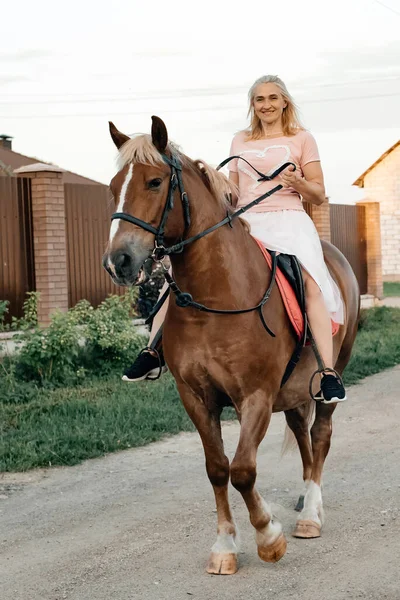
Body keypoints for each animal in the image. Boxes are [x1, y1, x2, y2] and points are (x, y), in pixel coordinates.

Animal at [102, 116, 360, 576]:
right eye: (114, 186)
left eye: (154, 182)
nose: (119, 262)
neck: (216, 295)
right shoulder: (196, 397)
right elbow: (217, 468)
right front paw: (224, 546)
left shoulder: (254, 396)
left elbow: (242, 470)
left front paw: (269, 537)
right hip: (294, 389)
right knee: (302, 431)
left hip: (329, 376)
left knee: (321, 434)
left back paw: (311, 513)